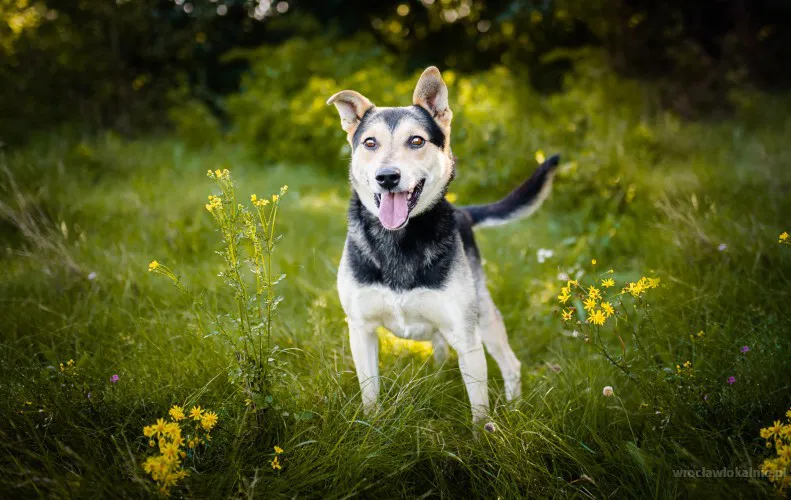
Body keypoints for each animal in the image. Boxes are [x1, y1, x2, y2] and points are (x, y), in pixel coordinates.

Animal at [324, 66, 560, 424]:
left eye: (416, 140)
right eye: (369, 142)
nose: (387, 177)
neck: (400, 238)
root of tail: (463, 212)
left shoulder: (466, 334)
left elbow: (479, 410)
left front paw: (483, 435)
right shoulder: (360, 330)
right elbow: (370, 395)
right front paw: (371, 426)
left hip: (484, 317)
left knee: (511, 364)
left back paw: (515, 409)